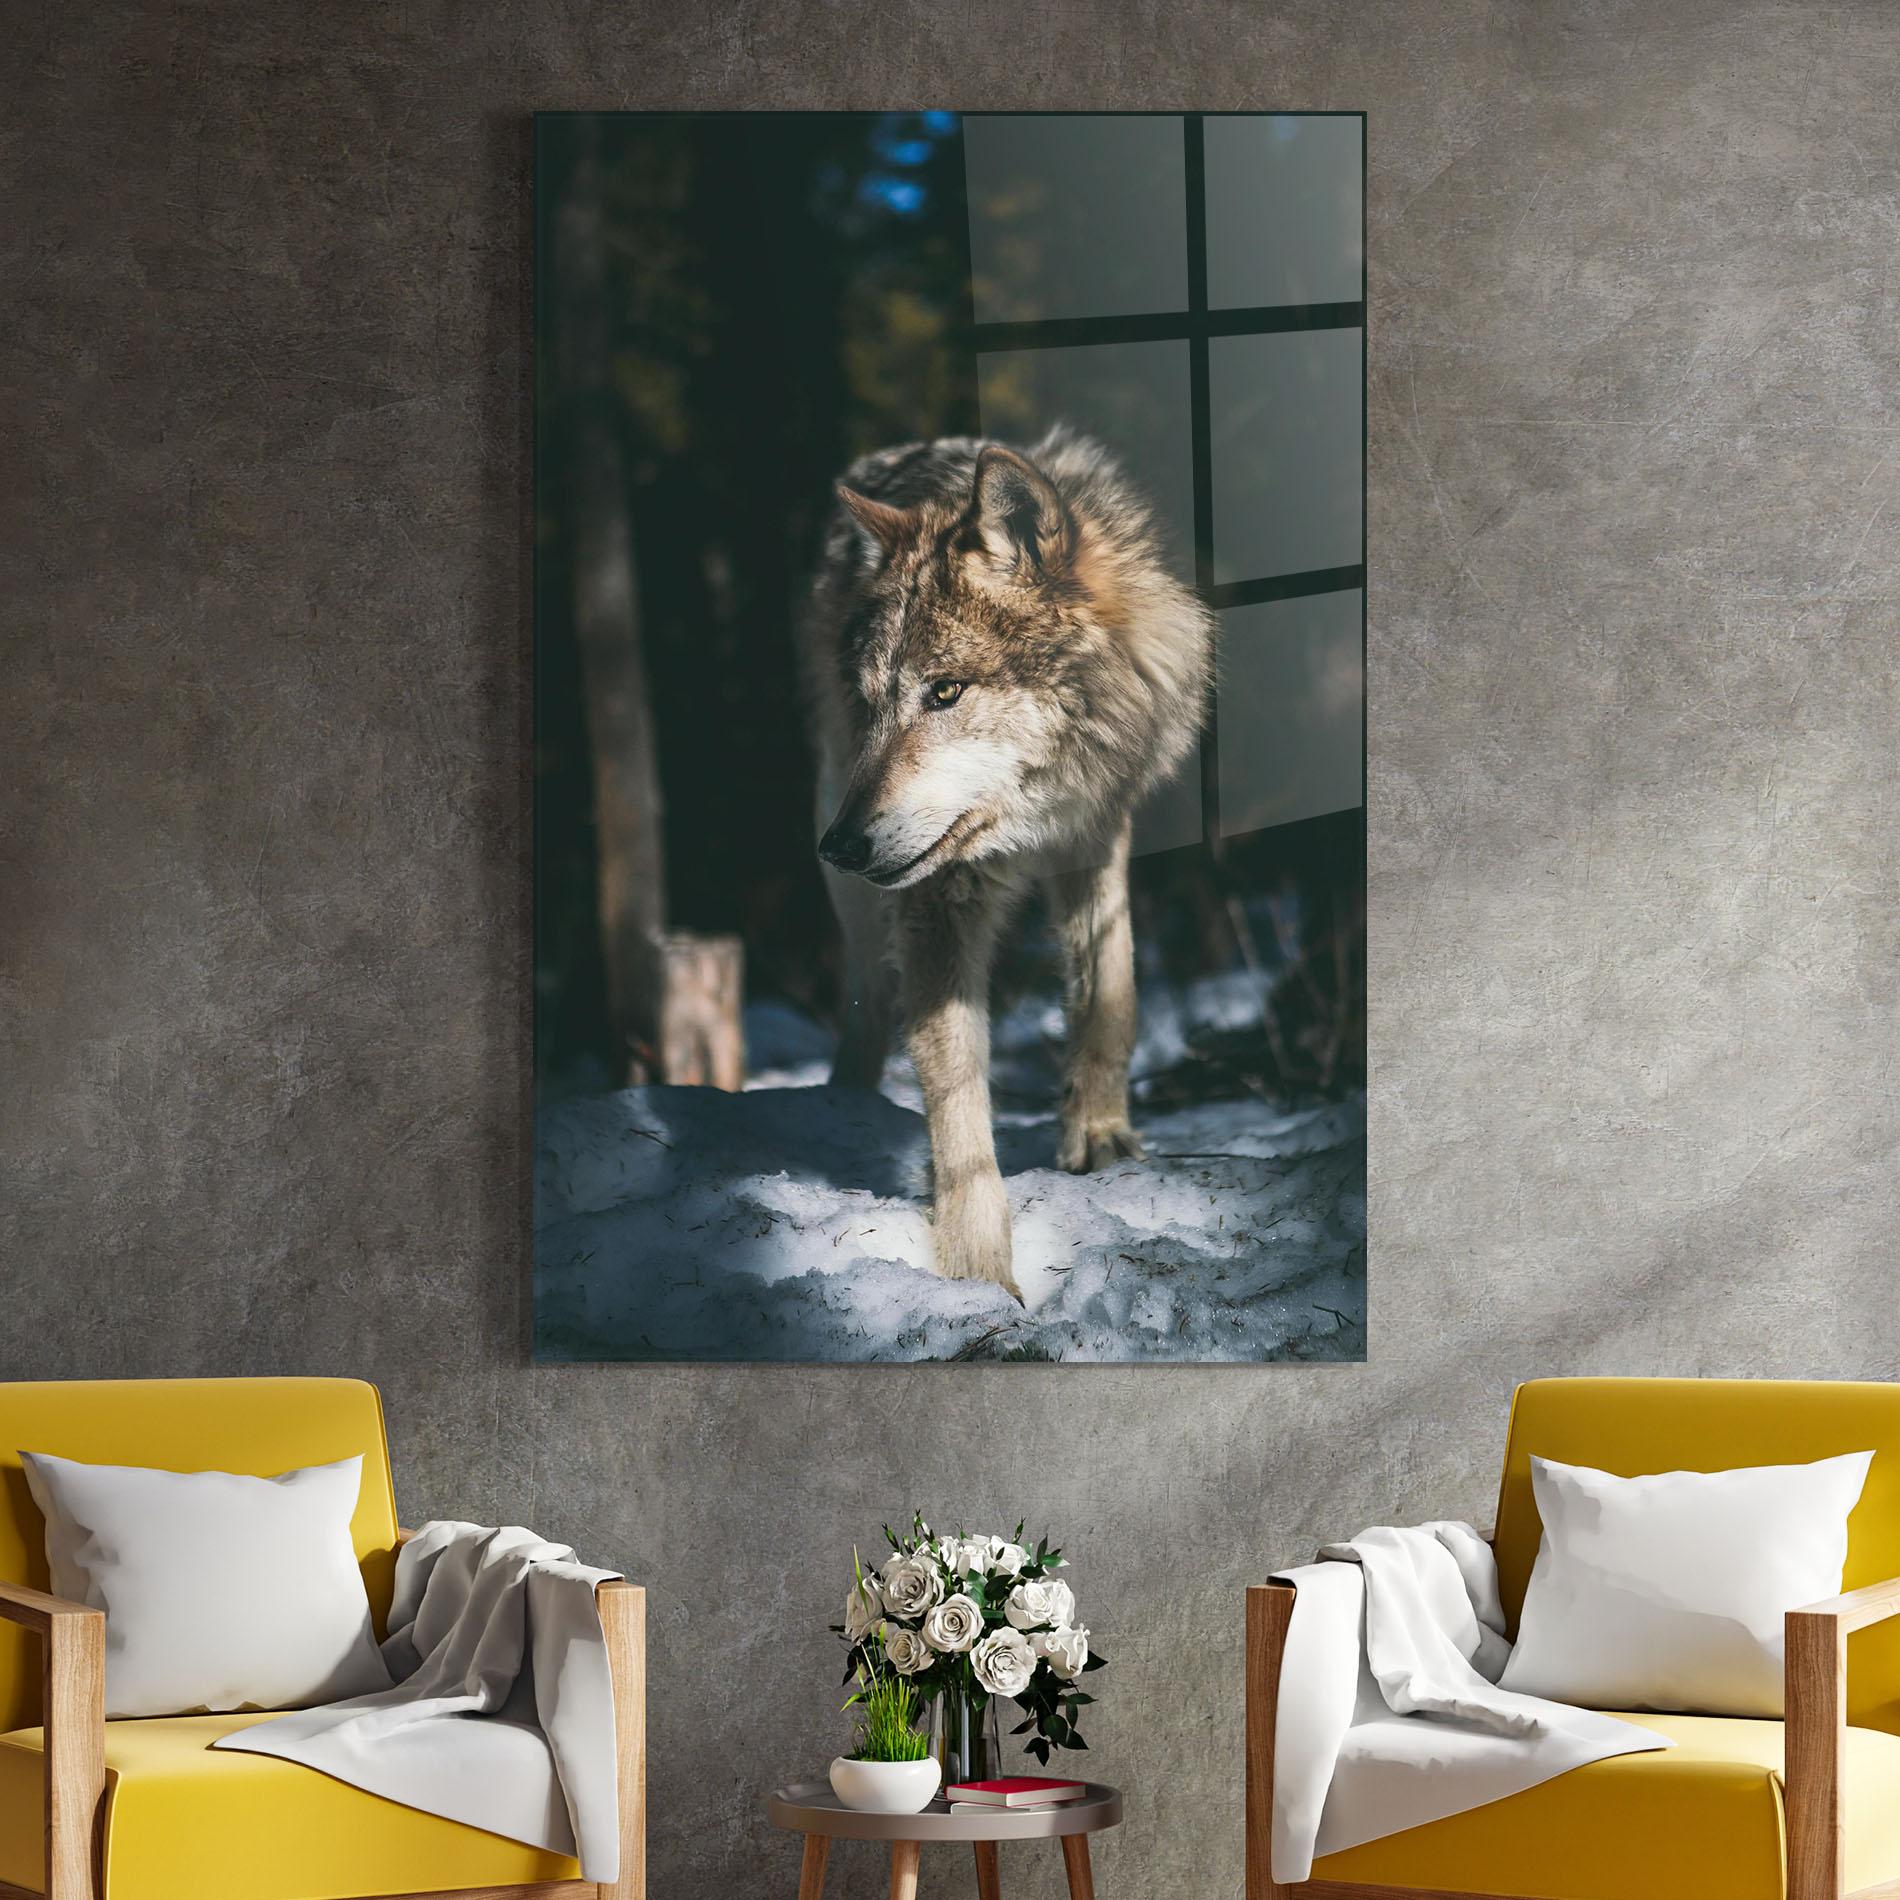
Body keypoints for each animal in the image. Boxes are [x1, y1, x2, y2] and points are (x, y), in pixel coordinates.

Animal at [798, 427, 1213, 1301]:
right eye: (871, 703)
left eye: (945, 691)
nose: (841, 846)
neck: (1030, 815)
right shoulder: (936, 897)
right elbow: (956, 1097)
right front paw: (978, 1273)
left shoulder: (1098, 831)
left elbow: (1111, 994)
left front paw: (1100, 1137)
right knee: (866, 995)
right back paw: (842, 1102)